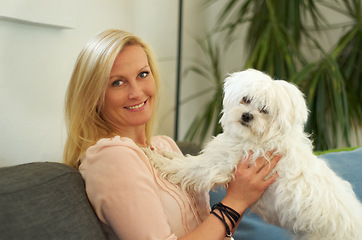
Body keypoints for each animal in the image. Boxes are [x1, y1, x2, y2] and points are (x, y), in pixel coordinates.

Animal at [144, 68, 362, 239]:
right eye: (246, 99)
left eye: (264, 110)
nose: (247, 116)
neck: (261, 137)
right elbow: (184, 159)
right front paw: (165, 154)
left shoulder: (215, 165)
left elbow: (186, 167)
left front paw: (155, 158)